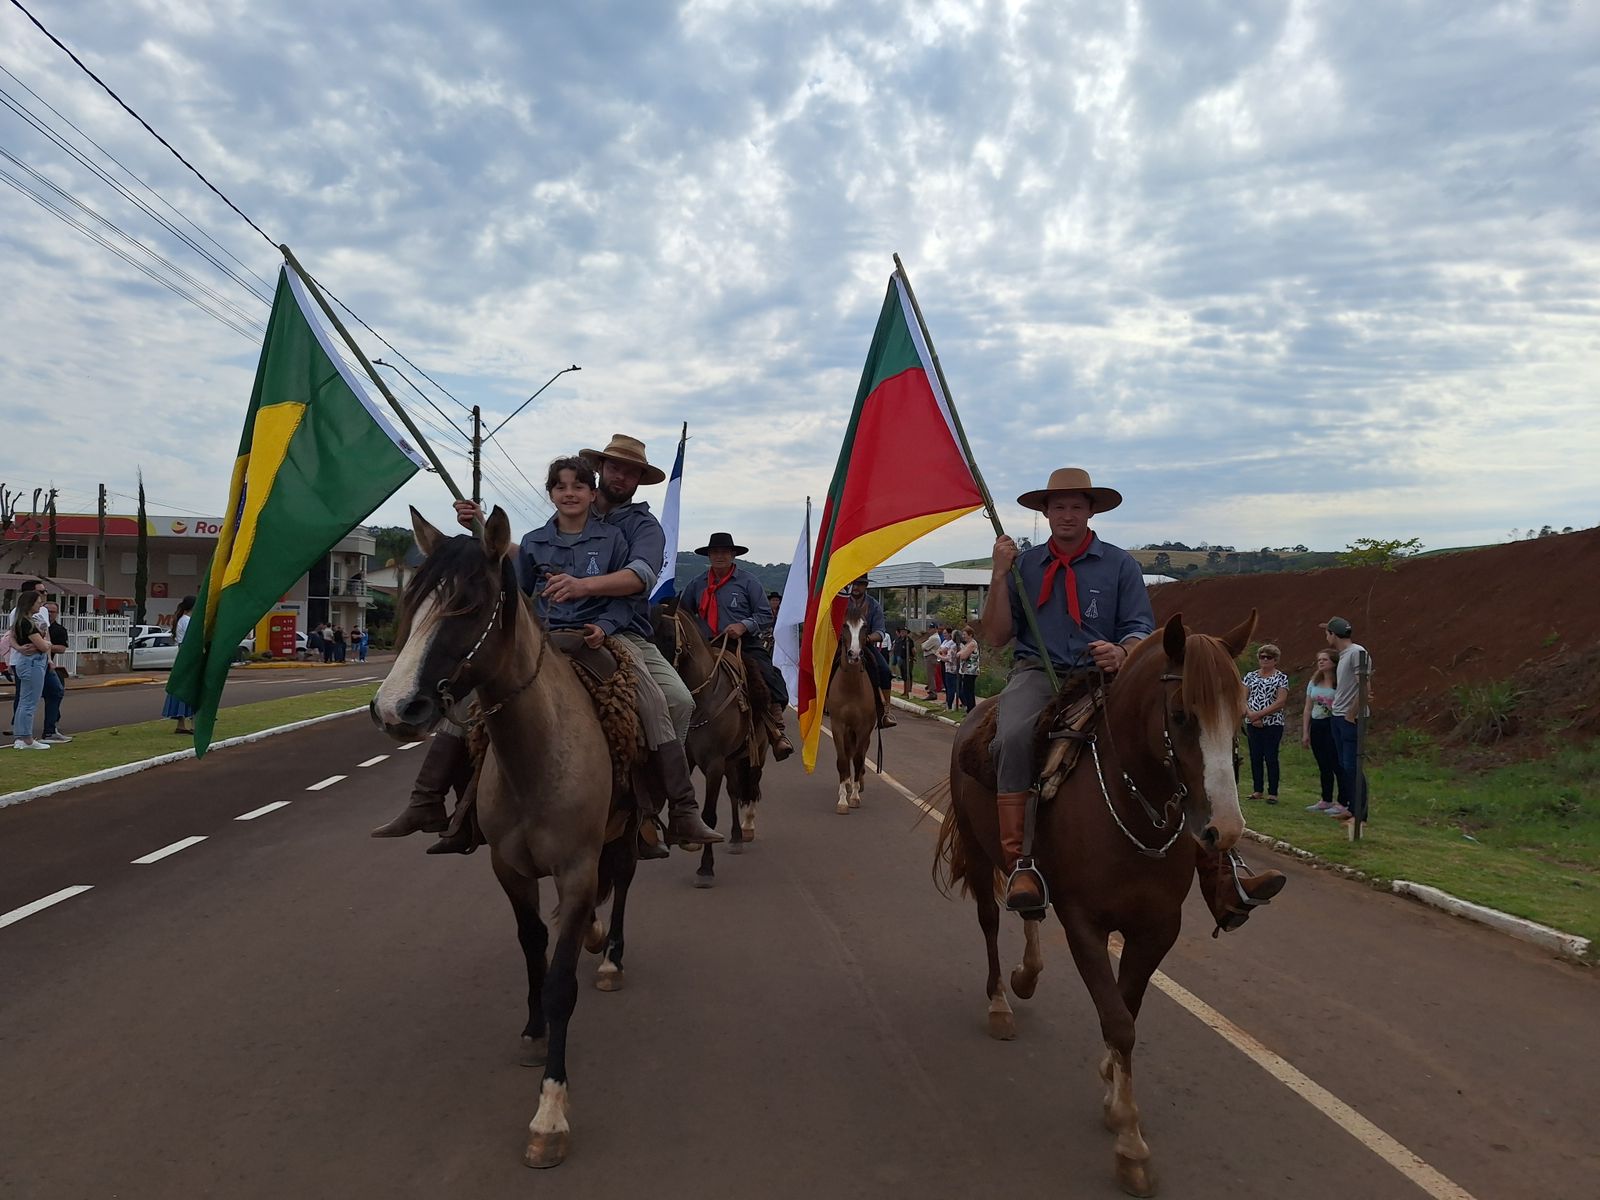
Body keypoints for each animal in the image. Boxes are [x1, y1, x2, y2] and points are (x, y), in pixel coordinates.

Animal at [371, 506, 640, 1170]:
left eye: (468, 606)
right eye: (411, 602)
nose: (392, 708)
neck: (536, 755)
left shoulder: (575, 871)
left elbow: (563, 983)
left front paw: (550, 1113)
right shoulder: (509, 869)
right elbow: (532, 948)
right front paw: (532, 1032)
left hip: (627, 829)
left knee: (622, 881)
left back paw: (611, 955)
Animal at [651, 598, 768, 887]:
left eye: (668, 636)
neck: (700, 701)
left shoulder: (714, 764)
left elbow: (709, 814)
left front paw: (705, 868)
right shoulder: (687, 758)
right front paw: (686, 838)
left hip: (755, 754)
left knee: (748, 786)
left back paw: (744, 830)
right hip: (732, 760)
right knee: (735, 791)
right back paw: (736, 836)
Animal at [934, 611, 1255, 1197]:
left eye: (1243, 714)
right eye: (1182, 714)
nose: (1224, 829)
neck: (1130, 806)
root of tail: (976, 716)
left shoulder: (1158, 927)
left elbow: (1124, 1008)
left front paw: (1111, 1084)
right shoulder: (1084, 923)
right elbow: (1118, 1020)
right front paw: (1129, 1142)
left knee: (1029, 905)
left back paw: (1027, 974)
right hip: (977, 849)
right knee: (991, 922)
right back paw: (1000, 1002)